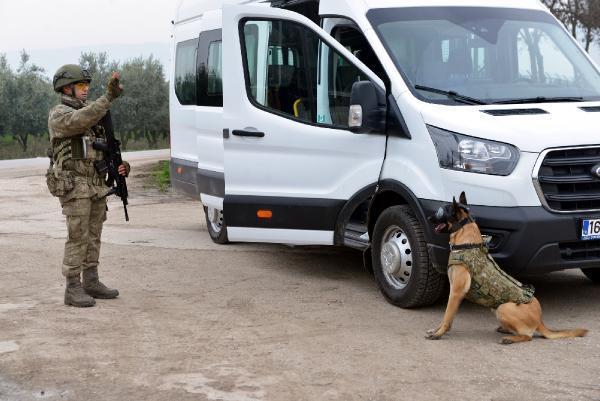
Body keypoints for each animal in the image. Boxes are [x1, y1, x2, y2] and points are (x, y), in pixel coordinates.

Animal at [426, 192, 584, 342]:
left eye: (440, 212)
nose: (428, 218)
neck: (466, 242)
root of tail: (540, 321)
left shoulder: (456, 292)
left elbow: (447, 316)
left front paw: (439, 333)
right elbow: (445, 317)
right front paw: (436, 330)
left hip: (503, 308)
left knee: (528, 336)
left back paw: (510, 338)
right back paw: (506, 330)